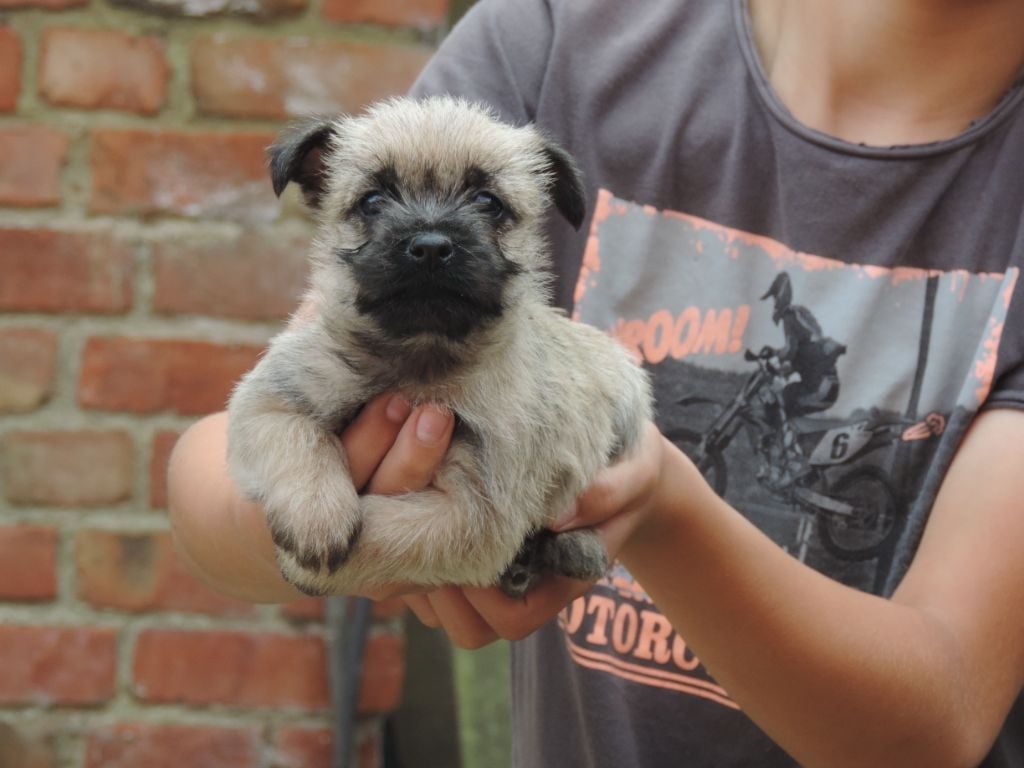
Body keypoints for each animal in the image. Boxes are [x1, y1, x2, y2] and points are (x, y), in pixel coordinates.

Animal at [227, 96, 651, 598]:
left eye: (488, 202)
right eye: (372, 201)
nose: (430, 246)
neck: (421, 356)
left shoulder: (471, 514)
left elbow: (384, 532)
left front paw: (305, 565)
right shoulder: (272, 399)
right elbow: (298, 438)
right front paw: (316, 513)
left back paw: (572, 547)